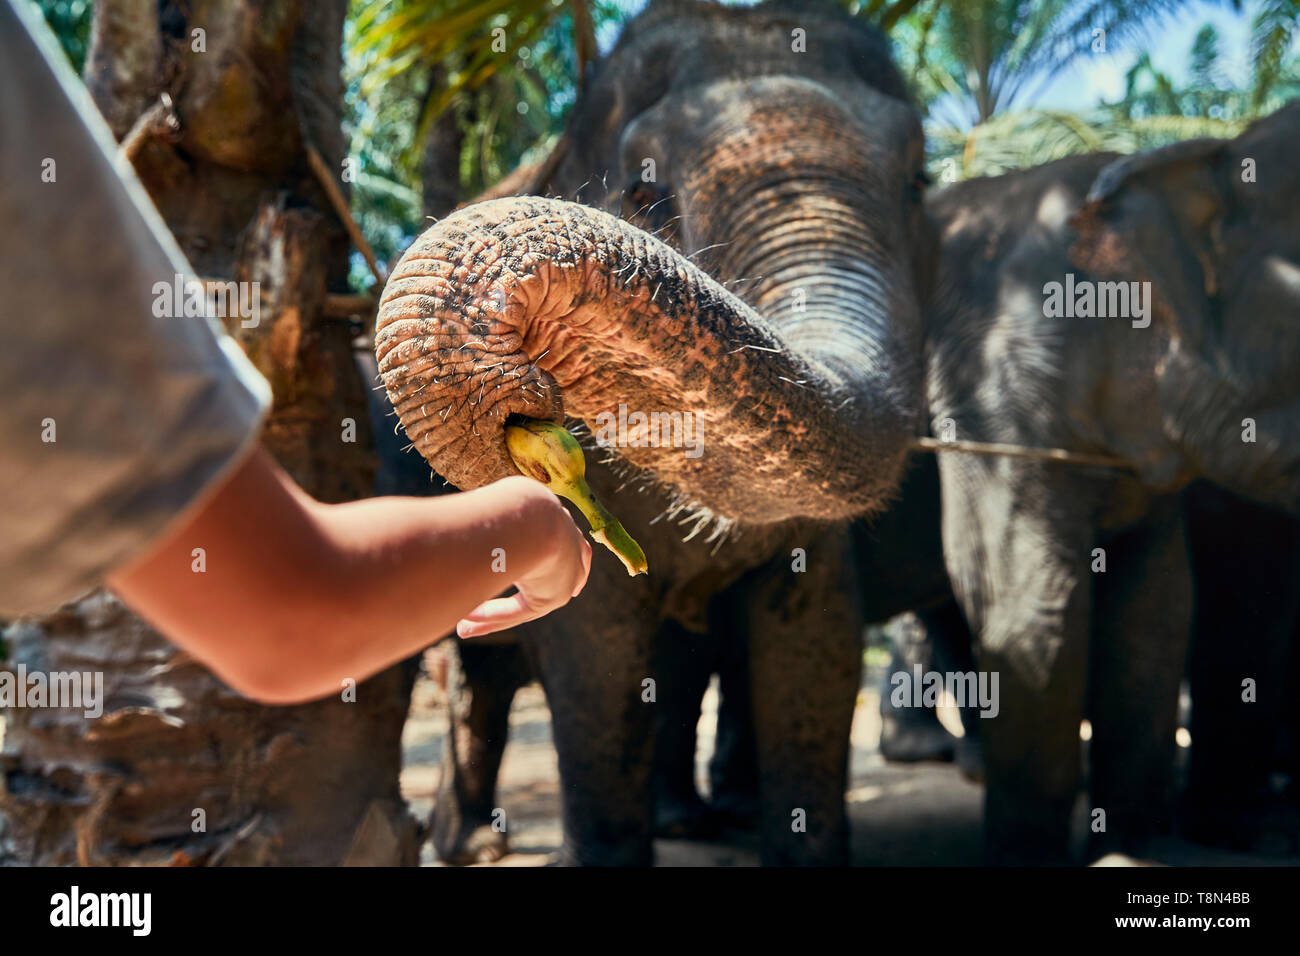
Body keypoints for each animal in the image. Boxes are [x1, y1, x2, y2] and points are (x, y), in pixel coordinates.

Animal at [373, 0, 939, 865]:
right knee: (460, 673)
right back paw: (470, 844)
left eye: (919, 180)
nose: (527, 384)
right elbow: (596, 658)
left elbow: (817, 640)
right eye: (645, 186)